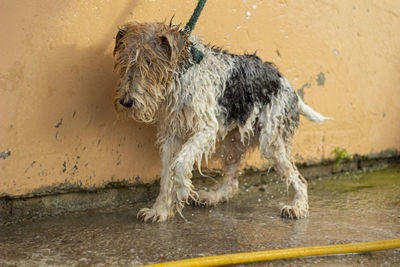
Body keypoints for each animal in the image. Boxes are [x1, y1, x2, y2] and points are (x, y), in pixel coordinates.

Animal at [112, 21, 332, 223]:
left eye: (150, 62)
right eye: (125, 60)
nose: (126, 102)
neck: (181, 76)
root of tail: (289, 88)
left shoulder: (207, 129)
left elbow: (181, 163)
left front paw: (183, 190)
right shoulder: (171, 135)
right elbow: (166, 175)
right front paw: (160, 211)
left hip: (272, 143)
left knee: (300, 180)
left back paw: (297, 208)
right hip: (233, 141)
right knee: (232, 180)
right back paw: (212, 197)